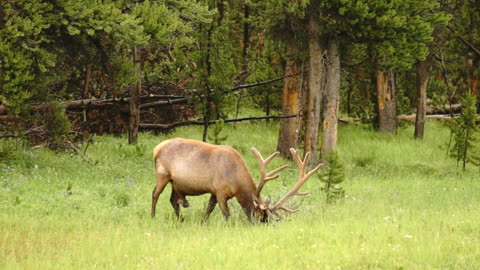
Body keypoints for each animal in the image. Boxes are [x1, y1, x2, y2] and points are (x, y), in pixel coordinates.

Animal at [151, 138, 322, 223]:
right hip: (162, 174)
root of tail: (156, 148)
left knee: (173, 200)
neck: (235, 180)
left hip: (175, 182)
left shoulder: (214, 191)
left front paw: (203, 223)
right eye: (262, 219)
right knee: (155, 194)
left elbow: (209, 209)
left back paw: (181, 220)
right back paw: (152, 217)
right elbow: (226, 213)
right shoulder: (220, 190)